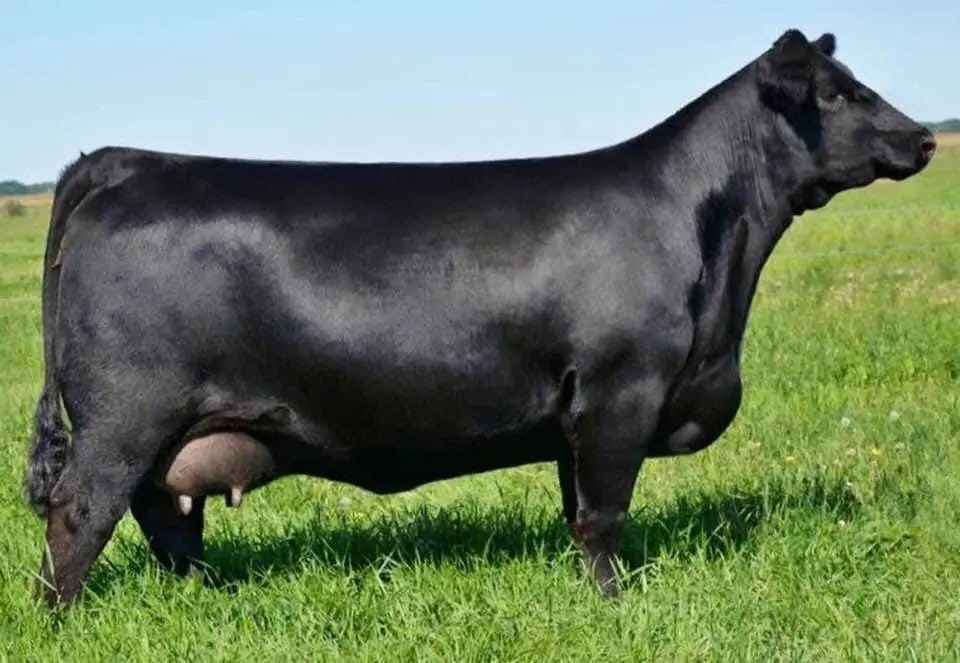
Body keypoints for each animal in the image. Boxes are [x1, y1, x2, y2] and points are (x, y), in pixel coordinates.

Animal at [24, 29, 935, 607]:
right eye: (836, 93)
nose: (925, 139)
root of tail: (126, 160)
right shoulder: (621, 388)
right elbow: (604, 514)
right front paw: (615, 605)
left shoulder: (576, 410)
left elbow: (578, 511)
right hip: (127, 411)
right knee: (81, 512)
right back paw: (63, 619)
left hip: (164, 426)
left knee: (165, 518)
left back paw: (210, 598)